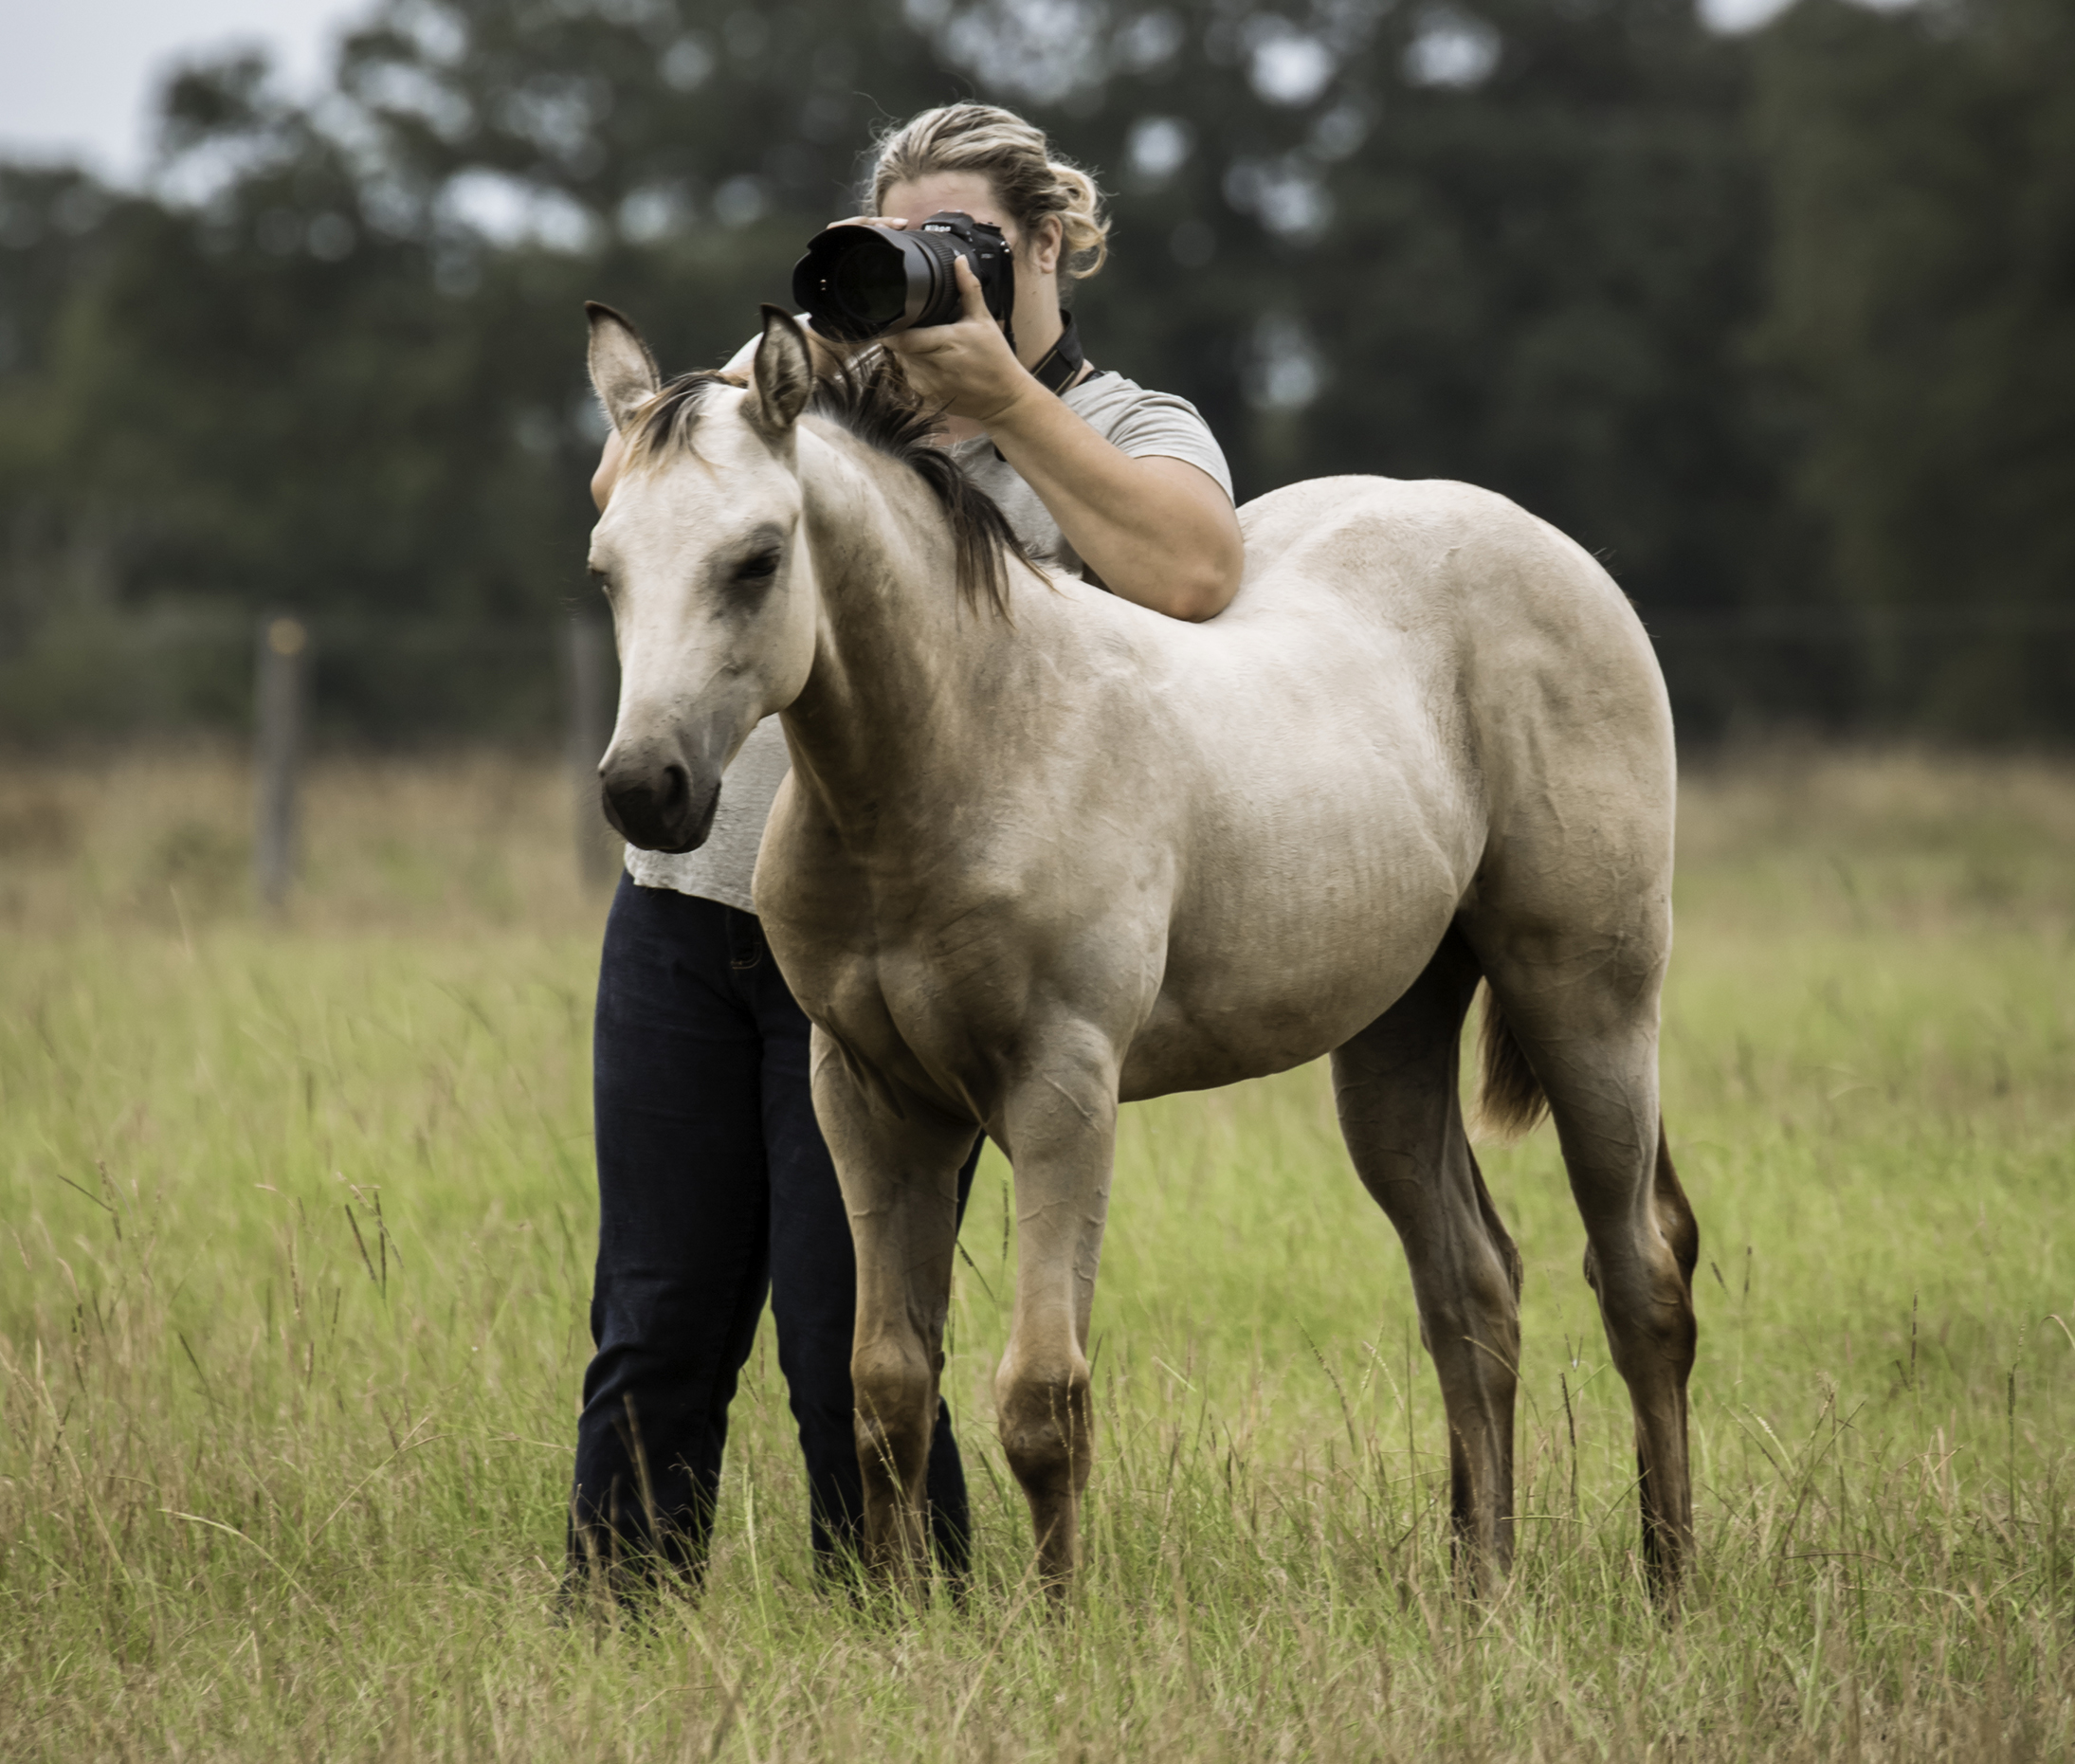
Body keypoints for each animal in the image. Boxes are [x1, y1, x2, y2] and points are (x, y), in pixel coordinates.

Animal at [580, 302, 1701, 1593]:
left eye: (757, 558)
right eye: (605, 566)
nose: (645, 789)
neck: (965, 749)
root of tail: (1559, 555)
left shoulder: (1062, 1090)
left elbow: (1040, 1398)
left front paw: (1055, 1622)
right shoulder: (867, 1097)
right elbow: (884, 1389)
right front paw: (906, 1615)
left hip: (1587, 992)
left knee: (1640, 1278)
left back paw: (1667, 1587)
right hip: (1393, 1030)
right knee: (1470, 1291)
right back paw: (1481, 1590)